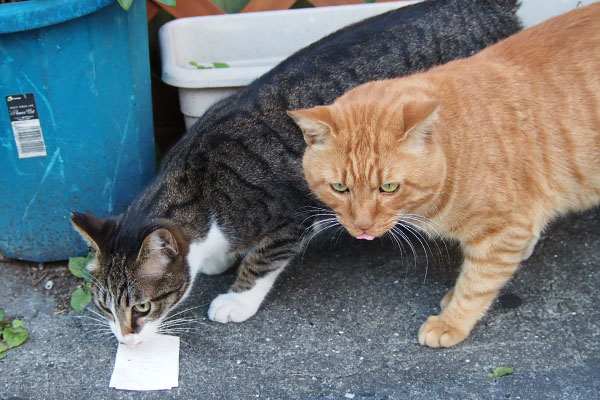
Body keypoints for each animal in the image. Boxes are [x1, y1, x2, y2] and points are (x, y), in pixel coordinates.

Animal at [69, 0, 520, 344]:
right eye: (104, 305)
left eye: (142, 306)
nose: (124, 339)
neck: (199, 185)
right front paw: (219, 260)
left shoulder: (291, 214)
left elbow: (262, 260)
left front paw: (236, 300)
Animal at [288, 3, 600, 346]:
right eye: (339, 187)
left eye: (389, 187)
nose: (362, 227)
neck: (454, 155)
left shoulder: (504, 231)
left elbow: (478, 283)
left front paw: (452, 320)